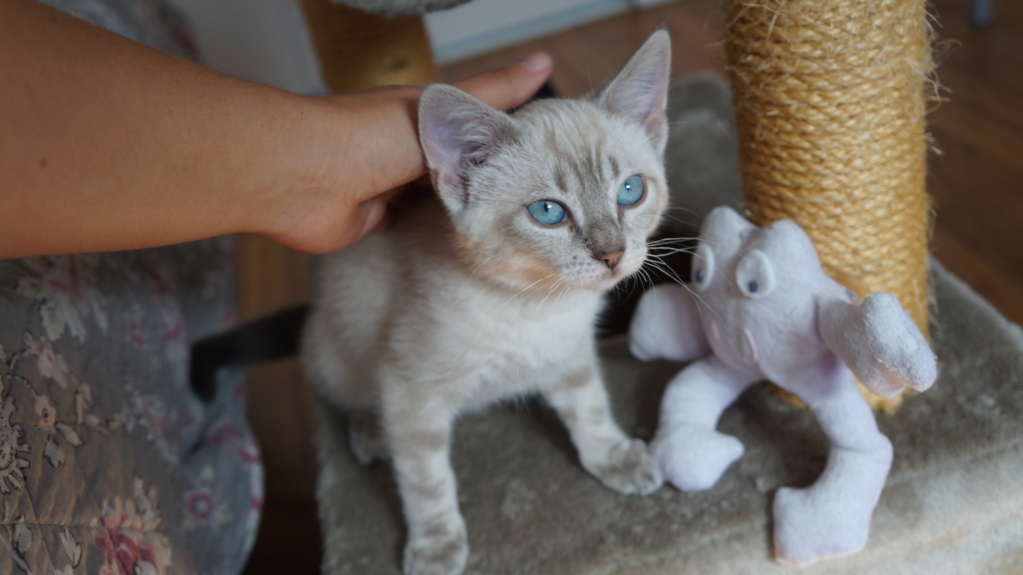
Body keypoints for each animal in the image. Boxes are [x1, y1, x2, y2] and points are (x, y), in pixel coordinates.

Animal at [300, 30, 671, 572]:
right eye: (548, 212)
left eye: (630, 191)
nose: (612, 254)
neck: (538, 307)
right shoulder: (408, 391)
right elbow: (426, 481)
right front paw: (436, 546)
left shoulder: (570, 355)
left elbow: (591, 409)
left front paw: (614, 458)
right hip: (333, 350)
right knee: (350, 398)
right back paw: (372, 433)